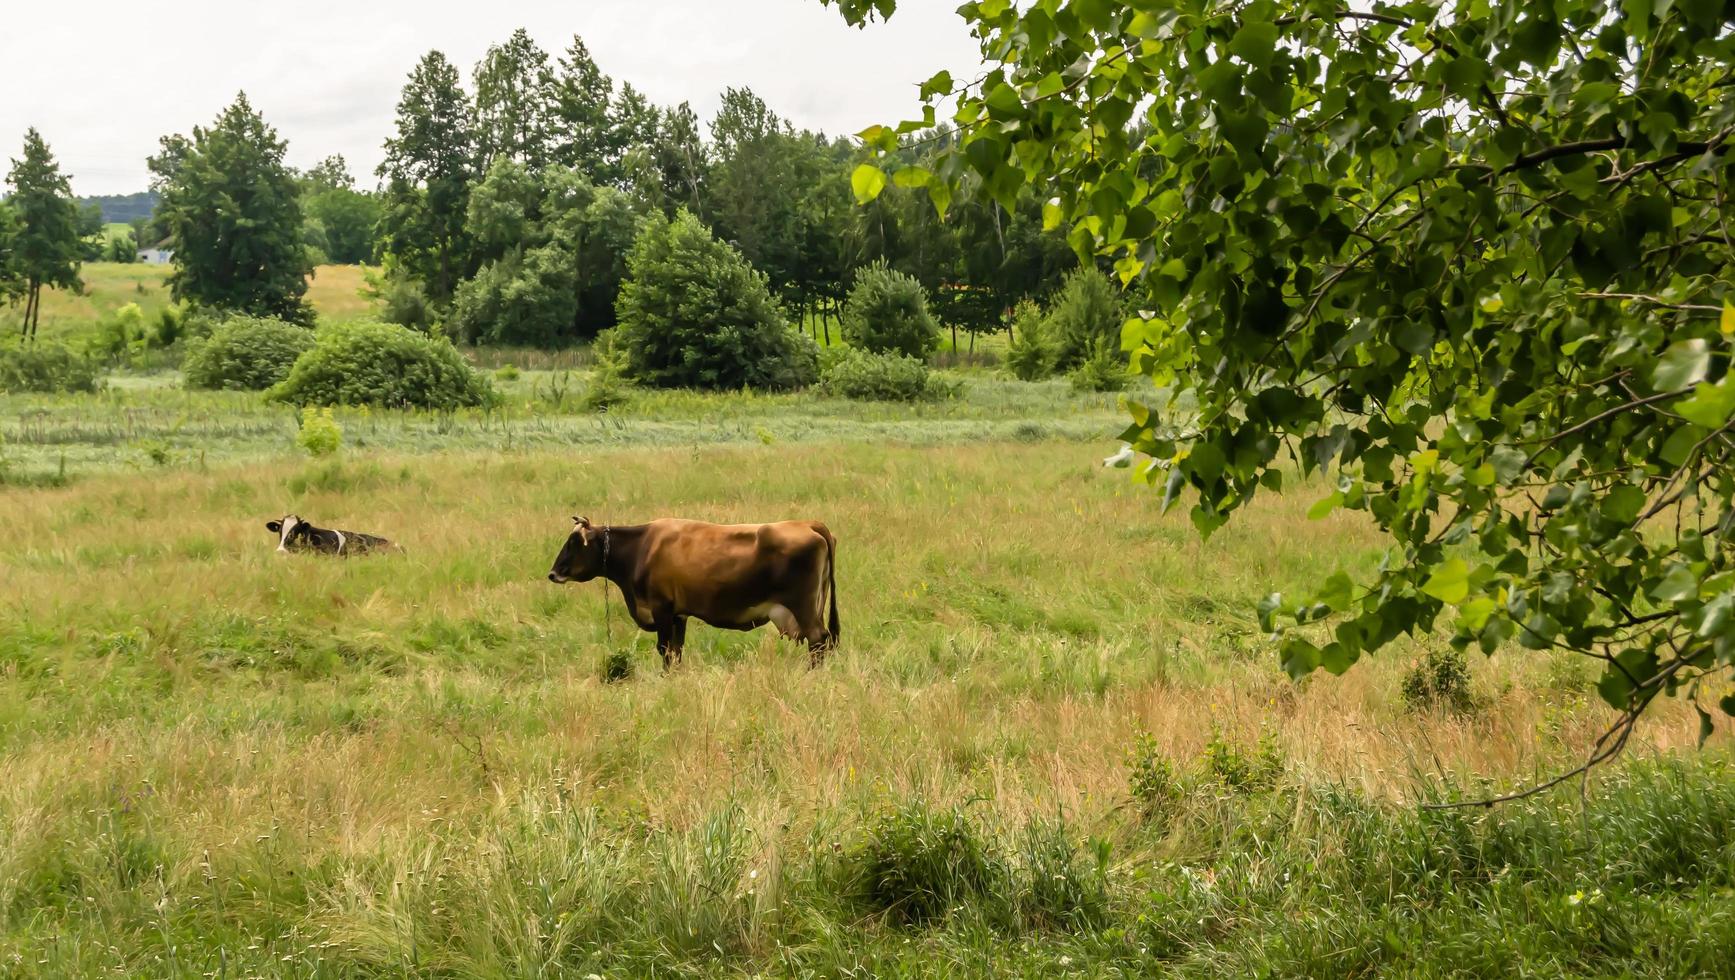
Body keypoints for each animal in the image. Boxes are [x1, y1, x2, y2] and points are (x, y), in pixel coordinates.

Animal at [544, 516, 836, 669]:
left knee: (818, 639)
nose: (553, 573)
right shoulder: (678, 614)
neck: (642, 547)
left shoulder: (661, 608)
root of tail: (807, 523)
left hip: (803, 606)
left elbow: (664, 649)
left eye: (573, 542)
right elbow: (676, 650)